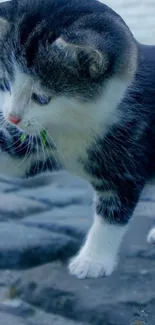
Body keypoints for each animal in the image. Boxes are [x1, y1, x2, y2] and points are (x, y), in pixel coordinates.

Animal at [0, 0, 155, 278]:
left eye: (41, 98)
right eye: (5, 84)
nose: (11, 117)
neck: (75, 125)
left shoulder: (129, 161)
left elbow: (112, 214)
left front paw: (92, 261)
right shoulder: (40, 143)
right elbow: (14, 162)